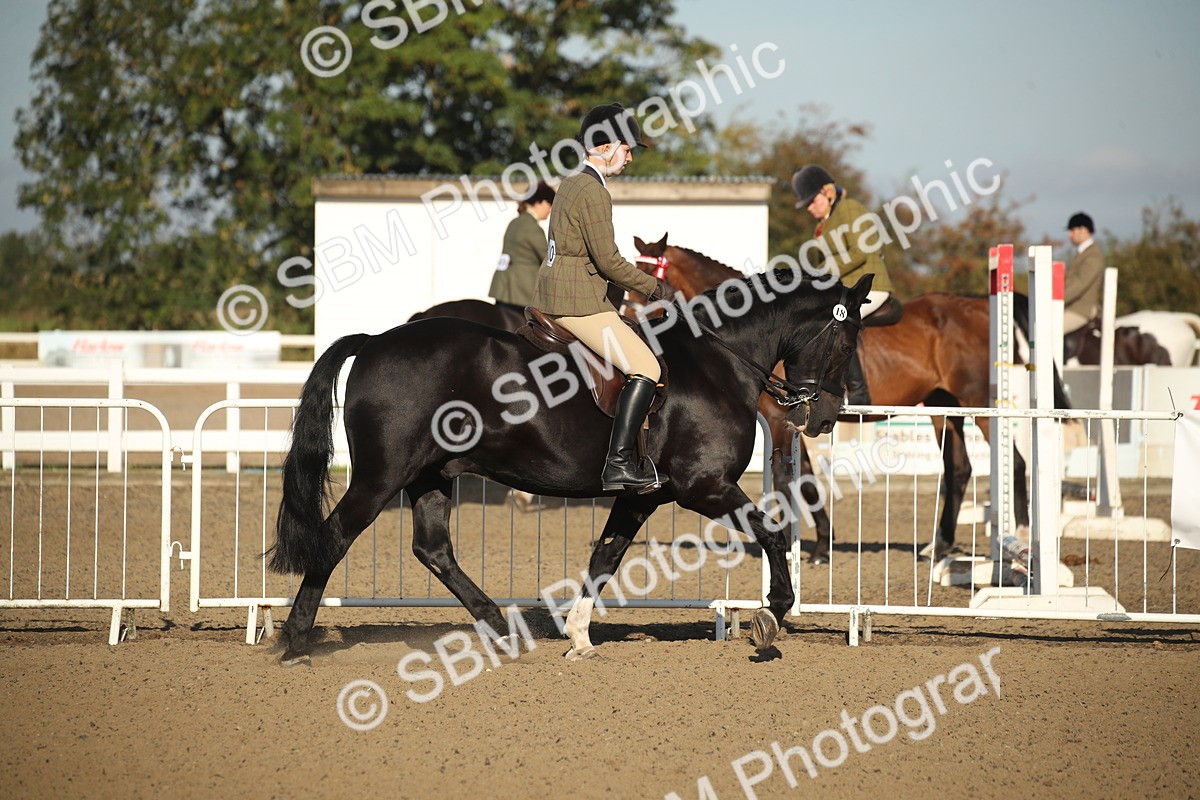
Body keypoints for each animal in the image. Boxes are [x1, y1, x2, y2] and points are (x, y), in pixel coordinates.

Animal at [268, 270, 874, 664]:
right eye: (846, 344)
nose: (826, 417)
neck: (717, 363)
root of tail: (376, 340)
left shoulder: (642, 494)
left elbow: (605, 556)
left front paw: (580, 637)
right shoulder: (704, 486)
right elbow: (771, 531)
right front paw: (772, 615)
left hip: (431, 477)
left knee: (434, 550)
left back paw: (503, 630)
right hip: (380, 479)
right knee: (334, 538)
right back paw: (295, 642)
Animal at [631, 233, 1070, 564]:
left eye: (650, 278)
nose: (634, 326)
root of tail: (977, 304)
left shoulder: (781, 421)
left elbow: (795, 480)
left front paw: (812, 545)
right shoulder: (793, 421)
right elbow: (804, 477)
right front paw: (818, 542)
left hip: (978, 405)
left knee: (1013, 461)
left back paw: (1020, 537)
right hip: (945, 409)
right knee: (959, 469)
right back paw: (938, 546)